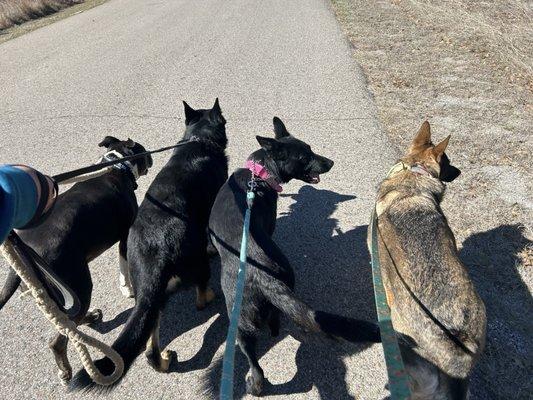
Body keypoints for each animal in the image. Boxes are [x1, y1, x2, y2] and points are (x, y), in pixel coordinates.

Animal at [0, 136, 152, 382]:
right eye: (144, 151)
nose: (151, 158)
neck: (116, 166)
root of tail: (22, 255)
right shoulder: (125, 235)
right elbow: (124, 267)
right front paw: (127, 289)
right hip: (78, 285)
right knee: (59, 340)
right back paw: (65, 368)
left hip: (60, 296)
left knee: (68, 325)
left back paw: (90, 318)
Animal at [69, 99, 228, 390]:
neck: (198, 140)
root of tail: (157, 252)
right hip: (194, 265)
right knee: (201, 294)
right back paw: (210, 296)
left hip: (151, 300)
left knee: (150, 350)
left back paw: (163, 361)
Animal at [208, 117, 378, 396]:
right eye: (304, 156)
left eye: (311, 150)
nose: (331, 163)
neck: (259, 175)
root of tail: (261, 274)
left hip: (239, 319)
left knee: (256, 360)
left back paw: (256, 384)